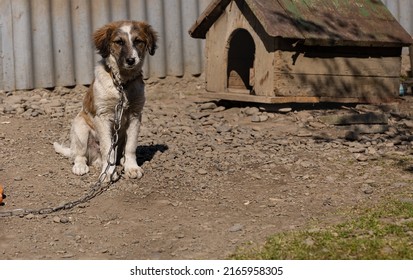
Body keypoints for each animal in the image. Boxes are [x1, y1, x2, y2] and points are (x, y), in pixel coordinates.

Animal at [54, 20, 157, 182]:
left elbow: (131, 146)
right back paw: (81, 166)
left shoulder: (135, 115)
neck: (121, 84)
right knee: (80, 155)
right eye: (119, 42)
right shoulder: (102, 117)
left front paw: (132, 168)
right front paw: (108, 172)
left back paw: (121, 161)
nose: (131, 60)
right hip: (80, 128)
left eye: (138, 41)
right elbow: (108, 147)